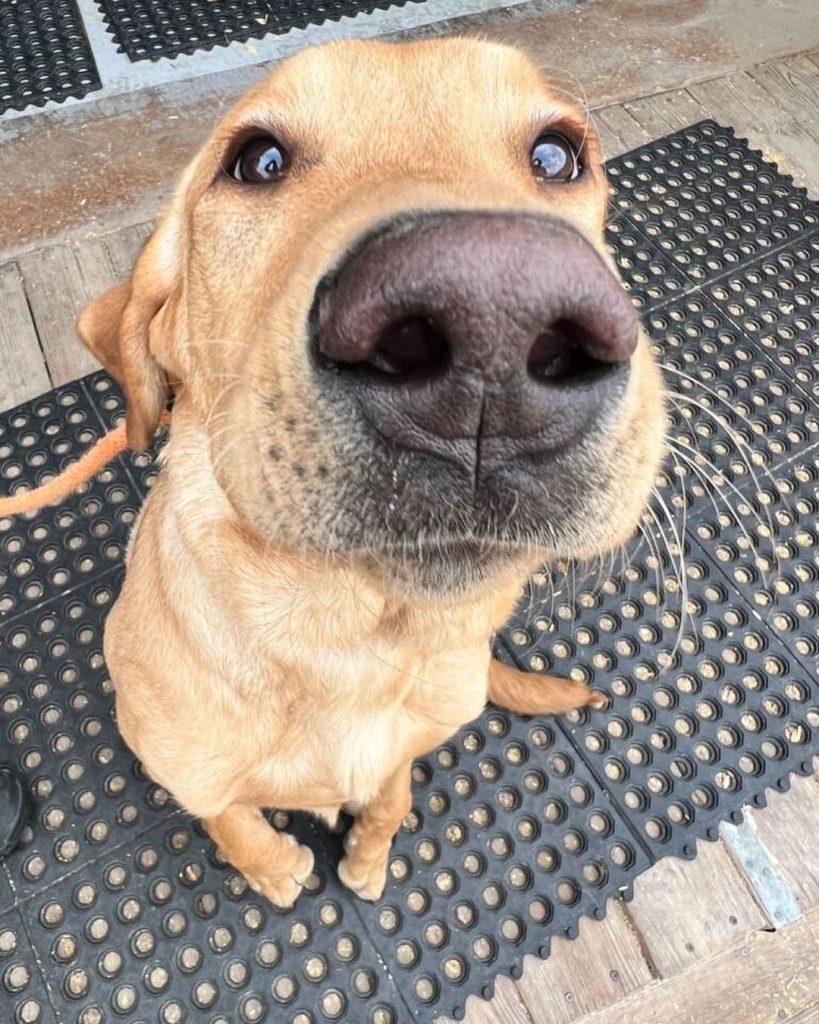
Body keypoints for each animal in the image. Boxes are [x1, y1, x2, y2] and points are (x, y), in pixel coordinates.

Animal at [75, 36, 663, 909]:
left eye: (556, 155)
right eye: (258, 160)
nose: (492, 312)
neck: (353, 647)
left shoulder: (404, 742)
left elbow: (390, 795)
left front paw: (368, 853)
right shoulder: (181, 764)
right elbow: (231, 820)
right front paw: (276, 869)